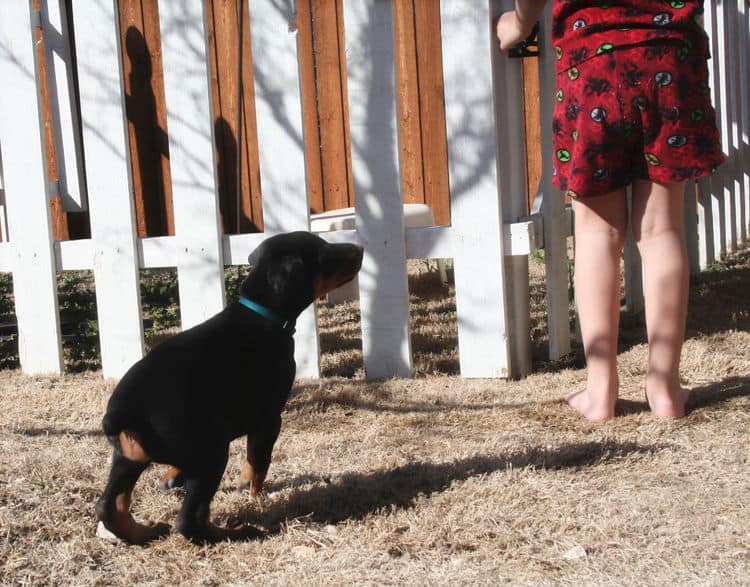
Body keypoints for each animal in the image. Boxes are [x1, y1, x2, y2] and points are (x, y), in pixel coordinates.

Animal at [95, 232, 366, 544]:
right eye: (323, 252)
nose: (360, 248)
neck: (262, 314)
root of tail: (120, 416)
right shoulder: (268, 418)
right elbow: (258, 460)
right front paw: (253, 492)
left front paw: (174, 476)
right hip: (212, 452)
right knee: (189, 520)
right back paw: (239, 532)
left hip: (128, 457)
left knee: (109, 505)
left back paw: (144, 532)